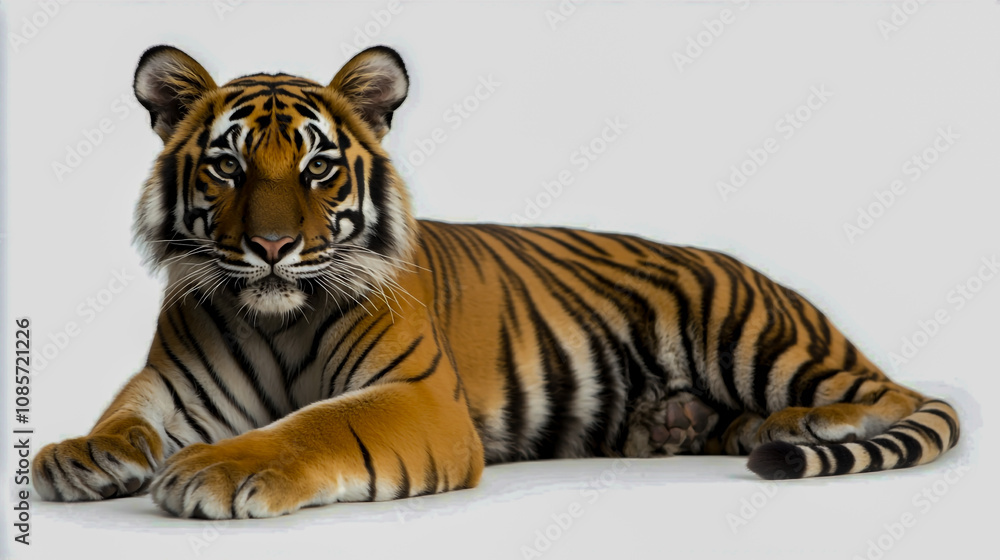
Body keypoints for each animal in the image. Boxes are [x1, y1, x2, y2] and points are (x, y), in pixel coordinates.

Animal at [32, 45, 961, 520]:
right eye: (226, 166)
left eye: (318, 166)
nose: (269, 245)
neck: (276, 314)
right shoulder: (173, 382)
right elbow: (126, 412)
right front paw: (82, 456)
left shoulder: (417, 396)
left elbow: (313, 426)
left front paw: (217, 472)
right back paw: (694, 428)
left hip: (749, 333)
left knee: (886, 394)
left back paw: (806, 423)